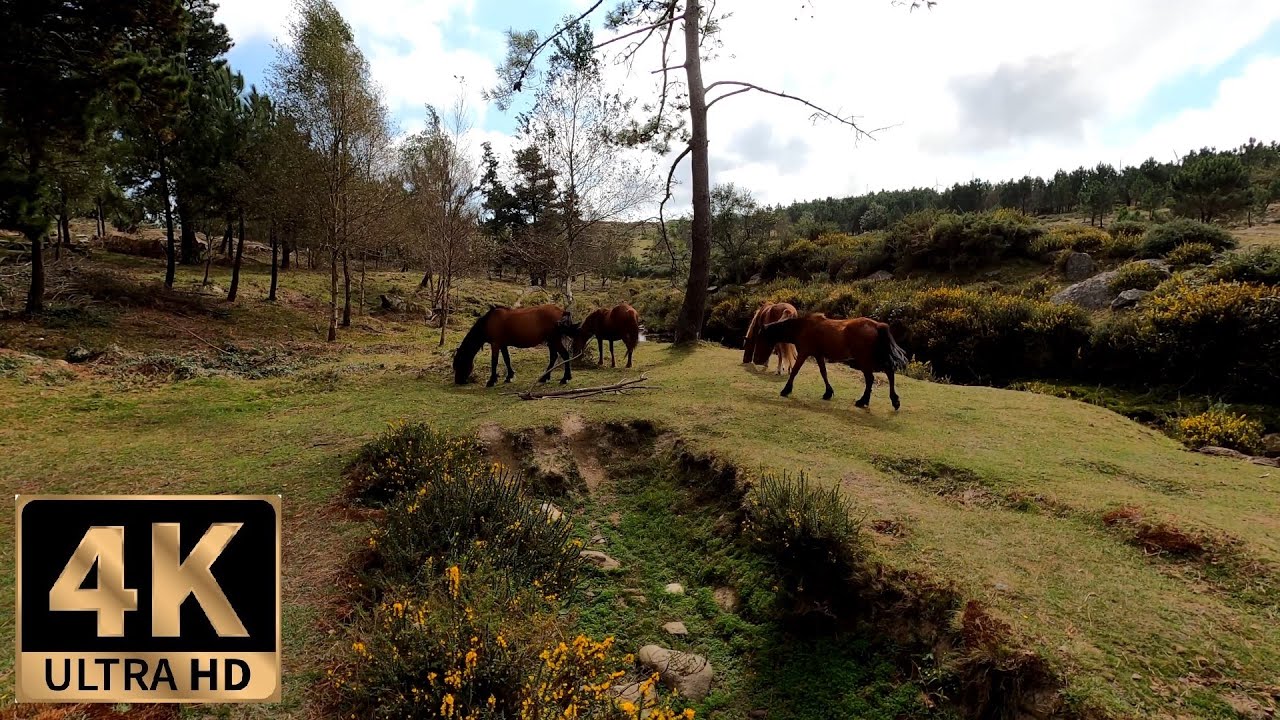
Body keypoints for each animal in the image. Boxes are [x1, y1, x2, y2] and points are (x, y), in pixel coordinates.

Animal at [759, 312, 909, 411]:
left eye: (761, 335)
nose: (761, 358)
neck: (802, 327)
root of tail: (877, 325)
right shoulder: (818, 355)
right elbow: (823, 373)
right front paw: (828, 392)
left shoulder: (804, 353)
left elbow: (795, 371)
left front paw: (786, 390)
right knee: (889, 372)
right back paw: (894, 401)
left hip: (865, 359)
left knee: (872, 378)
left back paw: (863, 401)